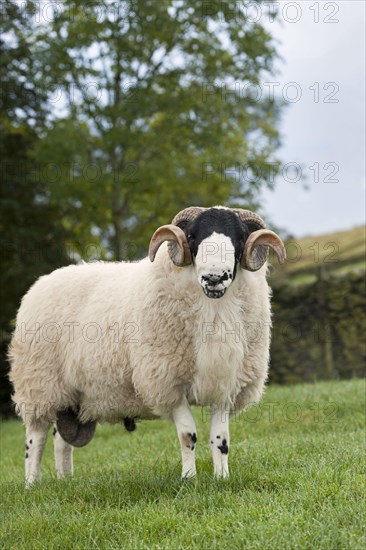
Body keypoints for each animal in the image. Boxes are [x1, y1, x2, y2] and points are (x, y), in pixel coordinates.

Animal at [7, 205, 284, 486]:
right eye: (192, 236)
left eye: (240, 237)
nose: (214, 277)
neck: (214, 309)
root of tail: (40, 283)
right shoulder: (168, 383)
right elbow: (188, 435)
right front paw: (189, 478)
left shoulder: (225, 385)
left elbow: (221, 440)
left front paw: (221, 478)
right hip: (39, 385)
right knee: (36, 438)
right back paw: (32, 484)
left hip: (70, 397)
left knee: (61, 440)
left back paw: (66, 481)